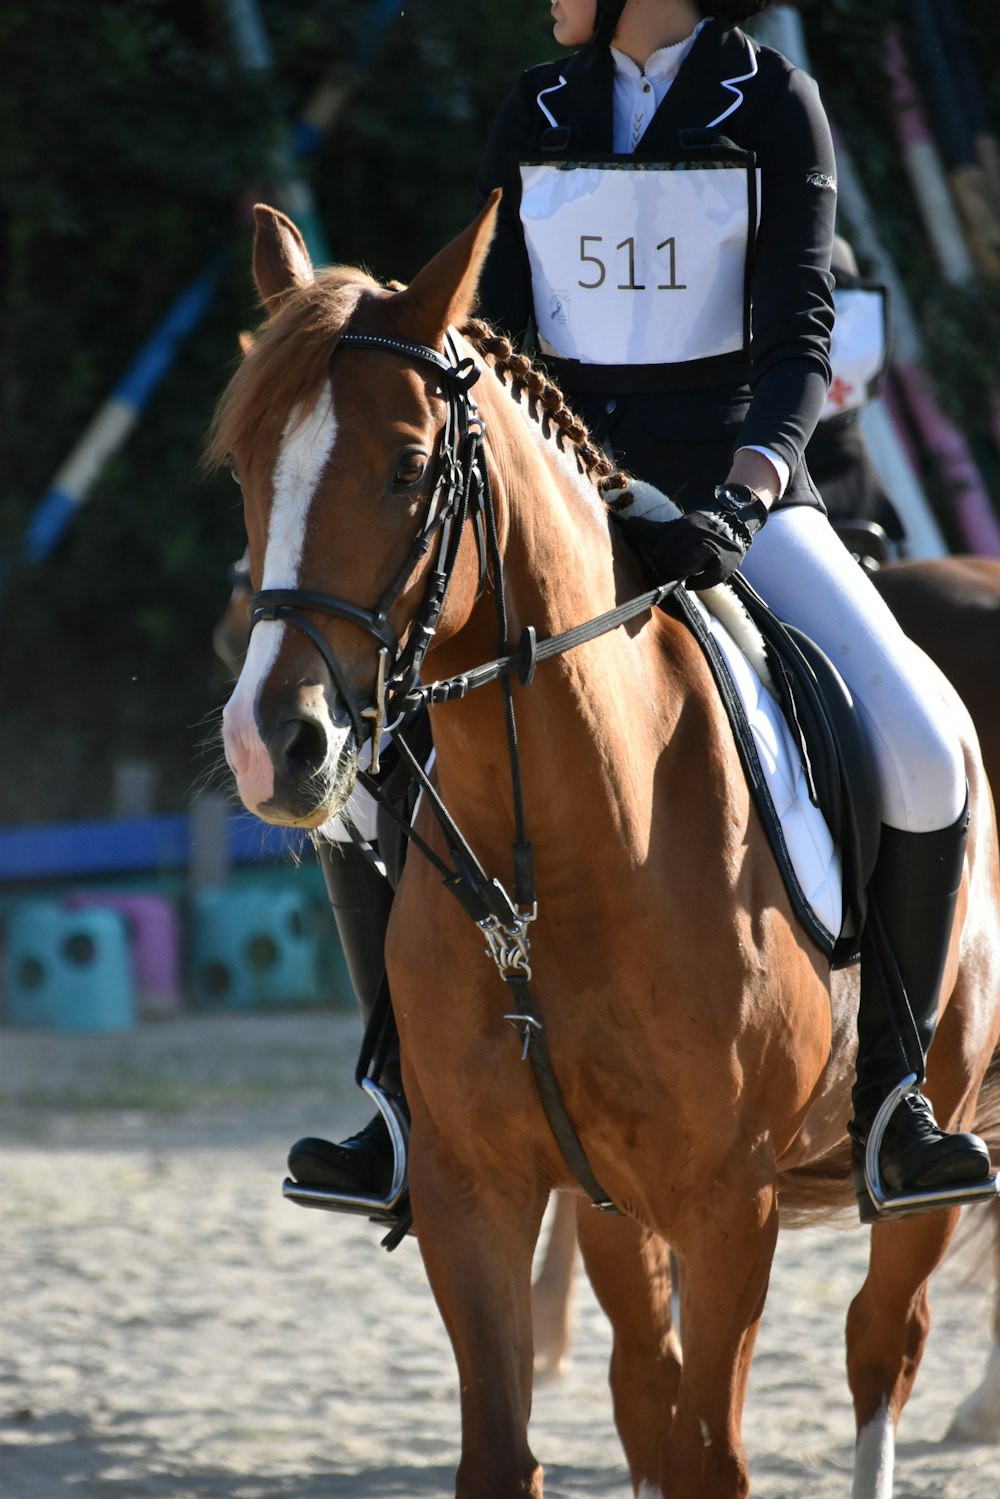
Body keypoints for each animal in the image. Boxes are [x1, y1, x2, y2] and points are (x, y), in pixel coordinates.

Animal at [211, 199, 1000, 1499]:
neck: (564, 857)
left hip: (919, 1151)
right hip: (610, 1204)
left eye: (410, 466)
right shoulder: (475, 1189)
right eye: (244, 466)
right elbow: (518, 1443)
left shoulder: (727, 1206)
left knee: (880, 1343)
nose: (276, 743)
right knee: (645, 1385)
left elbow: (712, 1452)